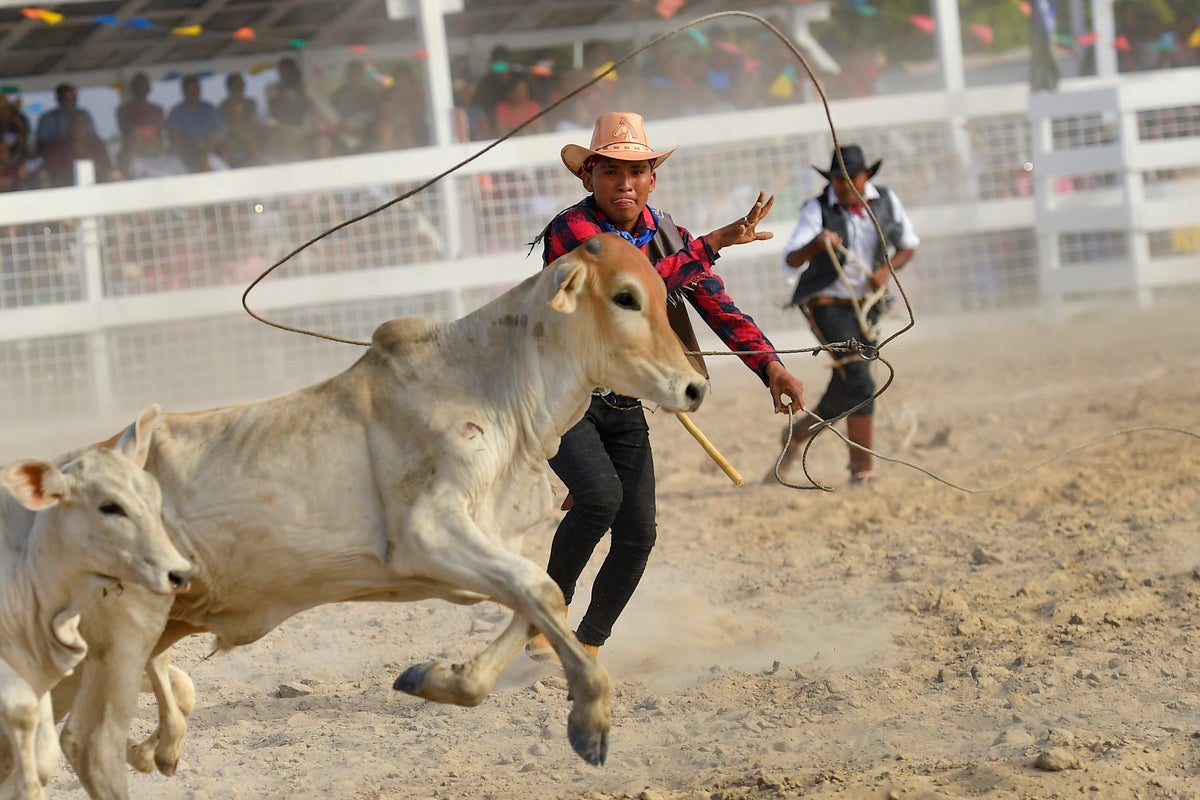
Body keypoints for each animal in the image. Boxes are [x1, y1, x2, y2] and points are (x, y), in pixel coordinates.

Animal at [49, 235, 700, 796]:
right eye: (625, 296)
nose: (694, 387)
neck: (490, 386)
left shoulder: (490, 541)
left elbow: (542, 598)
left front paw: (437, 679)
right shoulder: (427, 533)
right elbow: (540, 589)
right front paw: (590, 719)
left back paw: (157, 747)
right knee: (82, 737)